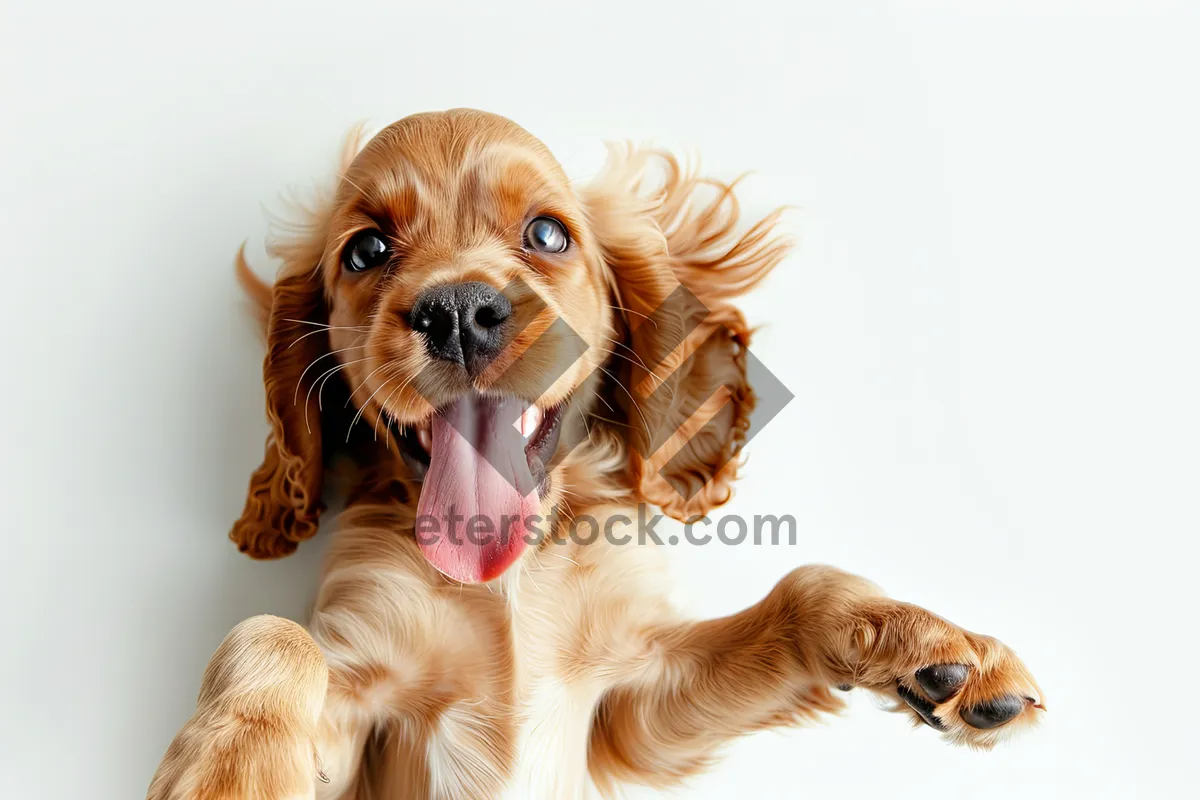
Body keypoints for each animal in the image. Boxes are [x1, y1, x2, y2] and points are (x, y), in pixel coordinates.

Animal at [150, 107, 1046, 800]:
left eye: (547, 233)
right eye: (366, 250)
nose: (458, 311)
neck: (503, 577)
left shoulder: (635, 705)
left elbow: (804, 586)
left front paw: (930, 644)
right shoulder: (361, 716)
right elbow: (269, 632)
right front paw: (231, 770)